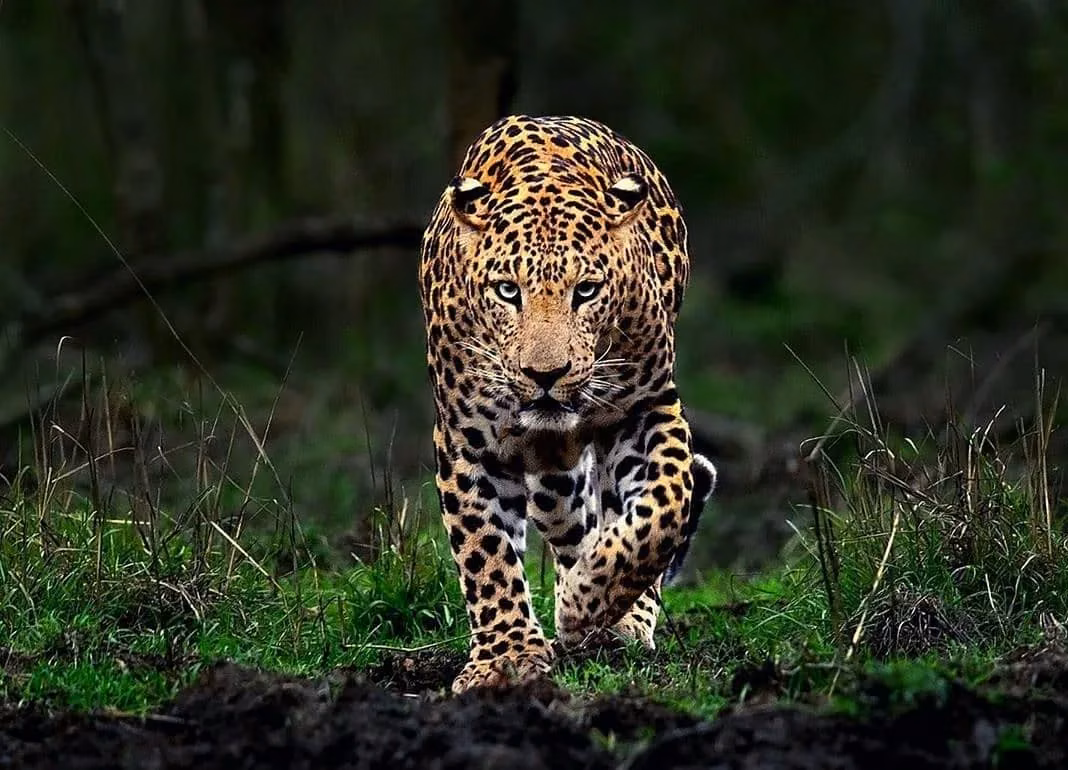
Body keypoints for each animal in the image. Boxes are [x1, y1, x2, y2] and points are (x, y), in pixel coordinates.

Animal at [419, 114, 717, 694]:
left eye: (586, 290)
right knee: (571, 524)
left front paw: (588, 602)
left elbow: (666, 505)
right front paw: (506, 657)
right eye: (507, 291)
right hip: (553, 479)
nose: (545, 375)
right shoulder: (466, 439)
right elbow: (485, 551)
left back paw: (615, 617)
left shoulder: (646, 406)